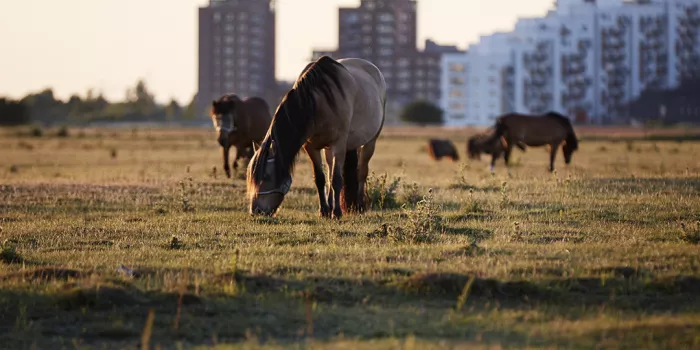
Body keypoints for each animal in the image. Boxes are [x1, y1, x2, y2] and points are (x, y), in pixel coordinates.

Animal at [246, 55, 388, 219]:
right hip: (329, 148)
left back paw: (359, 206)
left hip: (369, 142)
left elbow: (337, 179)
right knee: (331, 170)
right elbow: (321, 179)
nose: (256, 210)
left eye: (267, 176)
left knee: (362, 171)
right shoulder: (311, 147)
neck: (318, 103)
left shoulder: (339, 144)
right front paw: (324, 210)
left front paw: (337, 212)